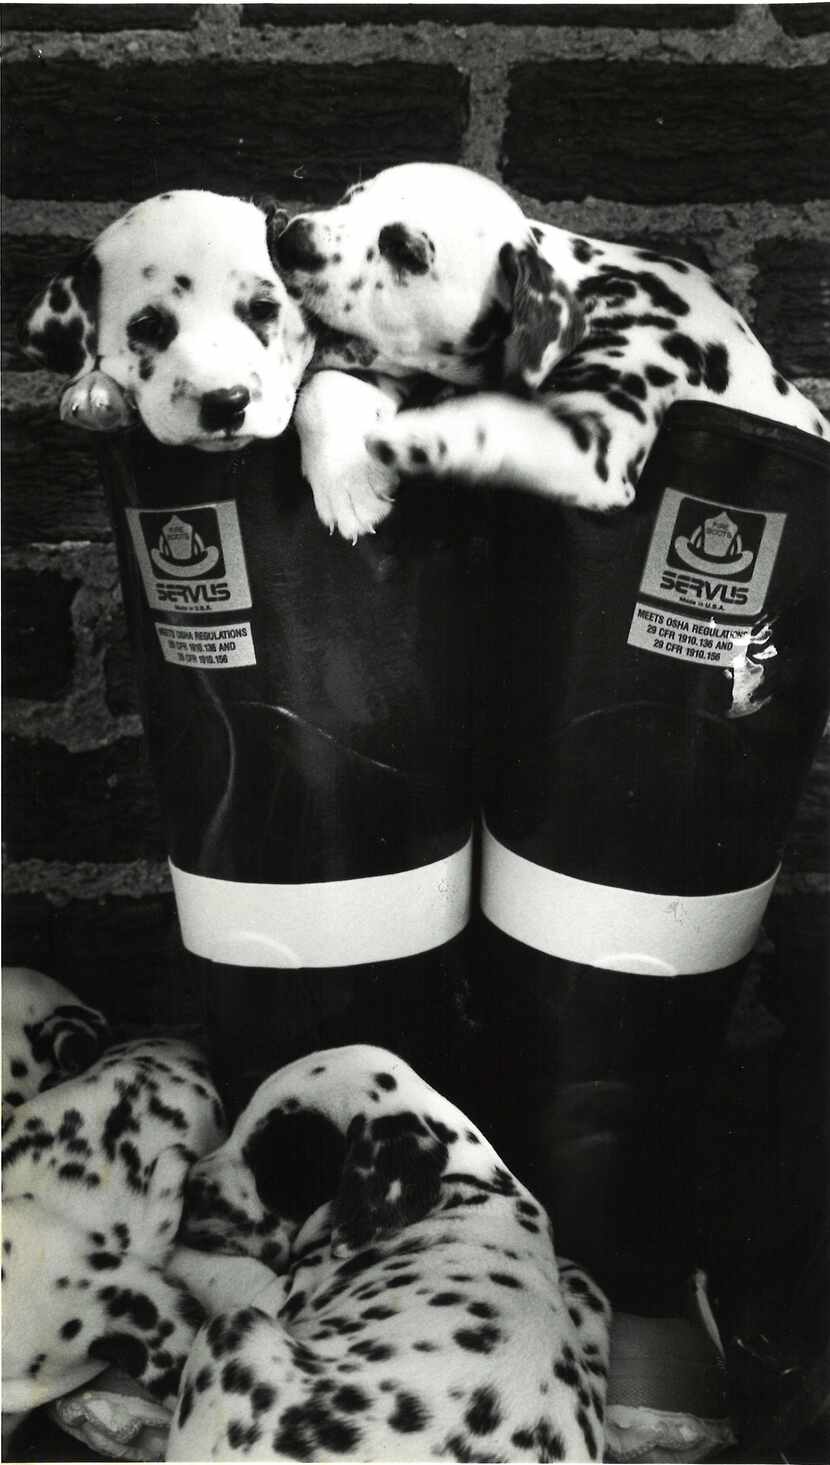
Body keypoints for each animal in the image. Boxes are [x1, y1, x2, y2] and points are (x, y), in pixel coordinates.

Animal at [170, 1043, 611, 1465]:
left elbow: (210, 1268)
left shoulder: (273, 1295)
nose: (190, 1187)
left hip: (235, 1329)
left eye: (278, 1168)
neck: (464, 1185)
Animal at [276, 166, 825, 533]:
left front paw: (422, 437)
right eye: (347, 198)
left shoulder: (596, 448)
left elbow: (495, 420)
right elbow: (322, 390)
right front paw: (347, 475)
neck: (591, 284)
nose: (289, 237)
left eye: (406, 250)